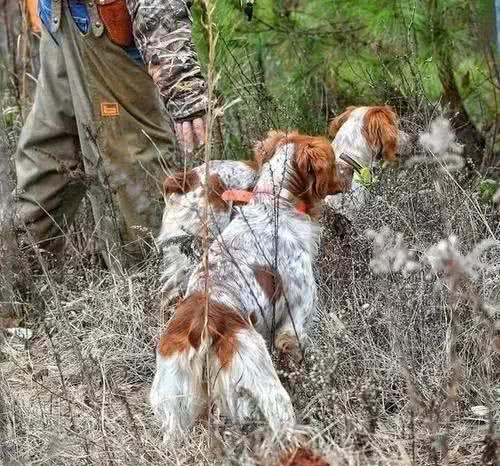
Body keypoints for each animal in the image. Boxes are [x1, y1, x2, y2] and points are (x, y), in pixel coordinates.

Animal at [150, 132, 342, 440]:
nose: (349, 172)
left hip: (173, 405)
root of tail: (199, 326)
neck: (275, 203)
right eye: (335, 161)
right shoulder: (294, 323)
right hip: (262, 380)